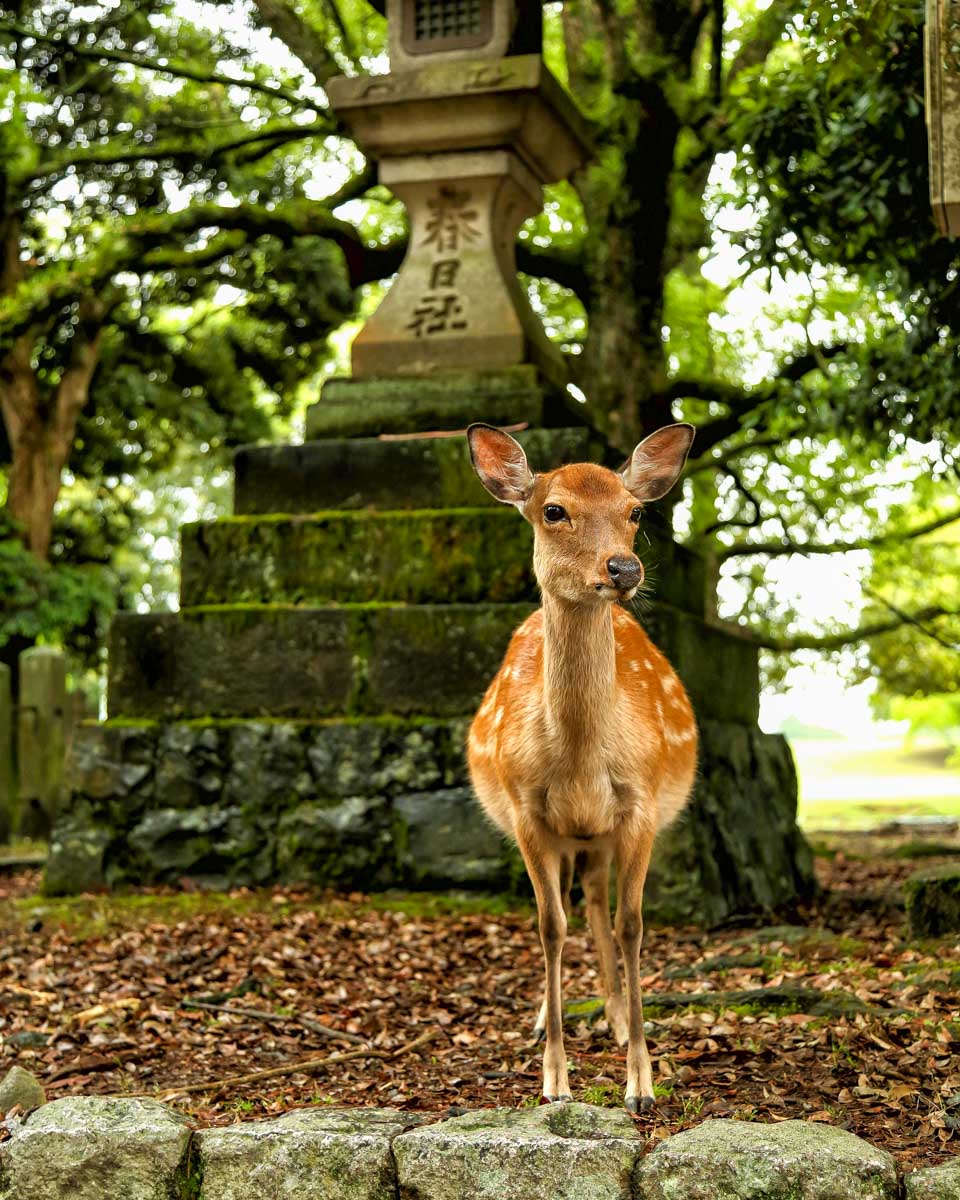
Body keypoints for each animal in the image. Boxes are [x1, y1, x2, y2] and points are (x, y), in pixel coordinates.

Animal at [465, 421, 698, 1113]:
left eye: (635, 511)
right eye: (553, 510)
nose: (623, 568)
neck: (579, 761)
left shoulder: (640, 803)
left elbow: (631, 924)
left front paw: (641, 1081)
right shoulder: (526, 810)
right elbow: (549, 925)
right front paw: (555, 1079)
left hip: (598, 836)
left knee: (596, 903)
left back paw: (616, 1017)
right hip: (570, 836)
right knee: (574, 907)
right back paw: (550, 1016)